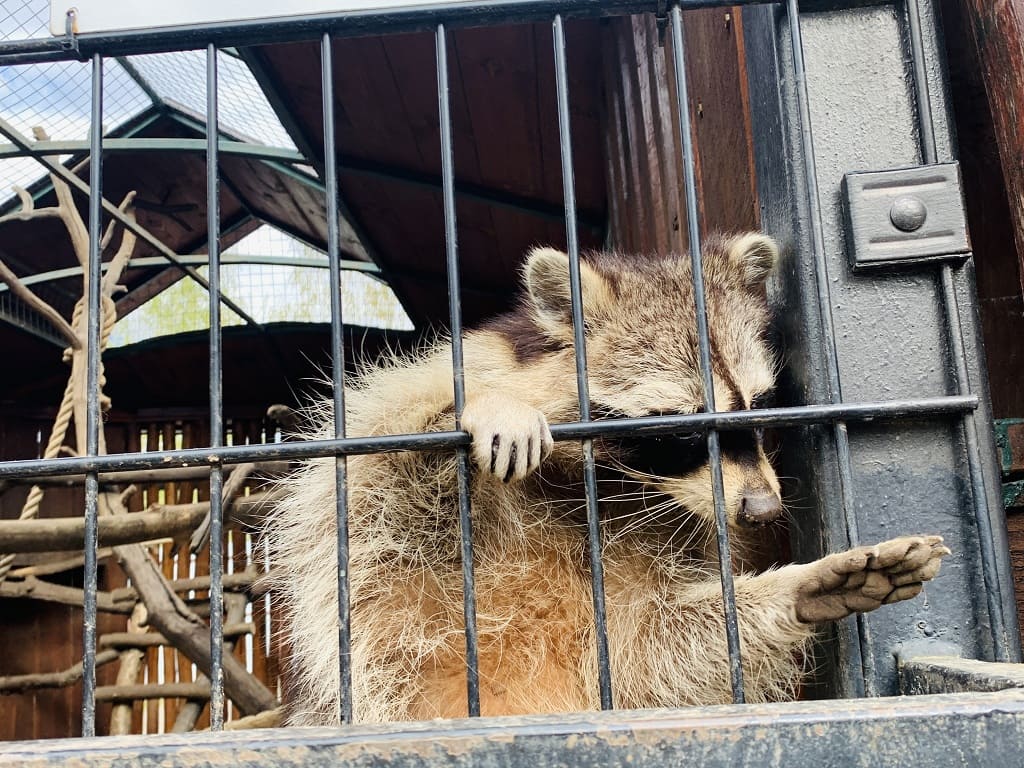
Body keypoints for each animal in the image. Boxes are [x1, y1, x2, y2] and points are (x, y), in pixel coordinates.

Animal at [262, 234, 942, 729]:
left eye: (759, 408)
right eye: (682, 428)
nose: (762, 509)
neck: (599, 481)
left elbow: (664, 650)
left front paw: (797, 586)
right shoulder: (385, 457)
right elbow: (375, 469)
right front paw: (485, 405)